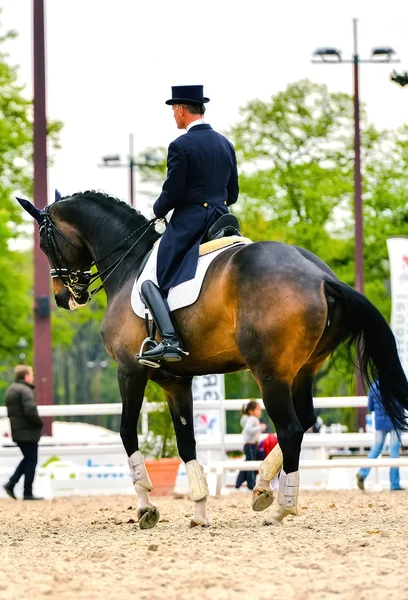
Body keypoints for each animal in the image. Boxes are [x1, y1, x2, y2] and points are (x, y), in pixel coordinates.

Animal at [17, 192, 408, 528]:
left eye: (44, 243)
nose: (65, 297)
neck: (129, 263)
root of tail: (322, 276)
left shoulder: (129, 371)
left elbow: (127, 432)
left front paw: (145, 507)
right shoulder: (175, 381)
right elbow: (186, 441)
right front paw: (200, 510)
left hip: (270, 374)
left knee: (291, 429)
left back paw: (280, 508)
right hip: (302, 372)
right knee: (307, 420)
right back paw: (264, 488)